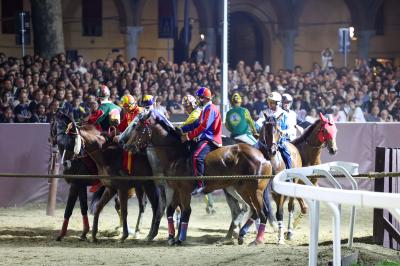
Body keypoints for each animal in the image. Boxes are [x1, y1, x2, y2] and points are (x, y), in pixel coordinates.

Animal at [57, 113, 164, 242]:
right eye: (61, 142)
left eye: (72, 142)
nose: (65, 163)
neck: (105, 156)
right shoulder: (110, 188)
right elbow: (95, 207)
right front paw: (92, 235)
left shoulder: (120, 188)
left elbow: (123, 210)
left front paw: (124, 235)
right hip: (141, 186)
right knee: (144, 206)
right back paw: (141, 232)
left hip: (149, 185)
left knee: (155, 206)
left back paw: (148, 233)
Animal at [120, 109, 274, 245]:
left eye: (137, 126)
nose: (125, 145)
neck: (177, 154)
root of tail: (262, 155)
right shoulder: (175, 190)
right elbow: (170, 211)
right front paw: (171, 237)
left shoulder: (184, 191)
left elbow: (185, 212)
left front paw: (179, 238)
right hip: (240, 189)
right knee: (252, 211)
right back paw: (239, 234)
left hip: (253, 191)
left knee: (262, 212)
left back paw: (256, 240)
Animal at [256, 113, 304, 244]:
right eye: (266, 129)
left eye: (278, 130)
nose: (272, 150)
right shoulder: (262, 191)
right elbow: (265, 212)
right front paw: (259, 238)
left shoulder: (280, 193)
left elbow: (280, 213)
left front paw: (280, 238)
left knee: (291, 207)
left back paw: (289, 232)